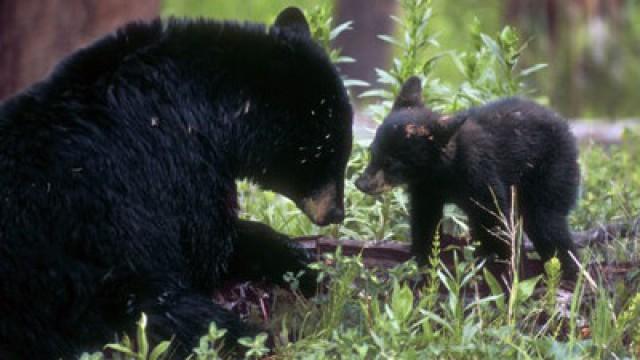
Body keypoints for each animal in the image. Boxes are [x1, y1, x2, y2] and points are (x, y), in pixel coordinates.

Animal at [0, 7, 352, 358]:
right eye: (329, 152)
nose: (336, 213)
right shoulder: (172, 170)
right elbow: (207, 249)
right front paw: (302, 265)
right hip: (77, 289)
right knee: (172, 316)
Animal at [356, 76, 580, 278]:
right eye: (372, 152)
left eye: (392, 163)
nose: (361, 184)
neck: (442, 171)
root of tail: (566, 127)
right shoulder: (426, 188)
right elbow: (425, 218)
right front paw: (423, 258)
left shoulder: (479, 173)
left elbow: (495, 215)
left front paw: (509, 266)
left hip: (552, 170)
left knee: (546, 221)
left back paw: (567, 271)